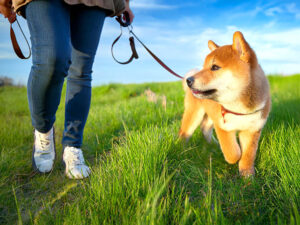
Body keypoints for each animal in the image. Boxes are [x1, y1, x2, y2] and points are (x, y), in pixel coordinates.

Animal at [179, 30, 270, 177]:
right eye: (204, 67)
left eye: (215, 67)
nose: (189, 80)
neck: (239, 109)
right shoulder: (222, 125)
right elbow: (233, 153)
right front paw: (235, 158)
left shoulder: (253, 129)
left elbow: (248, 155)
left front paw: (247, 174)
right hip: (195, 115)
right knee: (185, 132)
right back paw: (180, 148)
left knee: (205, 128)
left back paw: (214, 145)